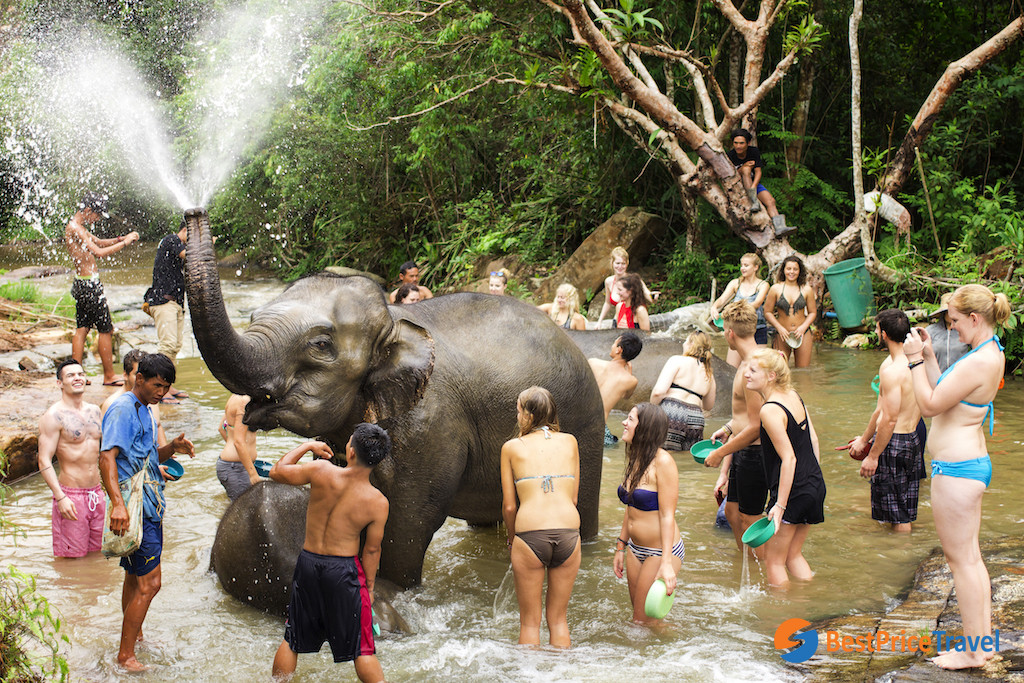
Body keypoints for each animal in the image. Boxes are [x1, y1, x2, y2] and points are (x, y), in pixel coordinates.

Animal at [183, 208, 606, 593]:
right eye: (253, 315)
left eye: (320, 344)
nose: (193, 212)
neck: (393, 320)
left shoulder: (431, 423)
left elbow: (409, 520)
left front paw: (395, 589)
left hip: (582, 427)